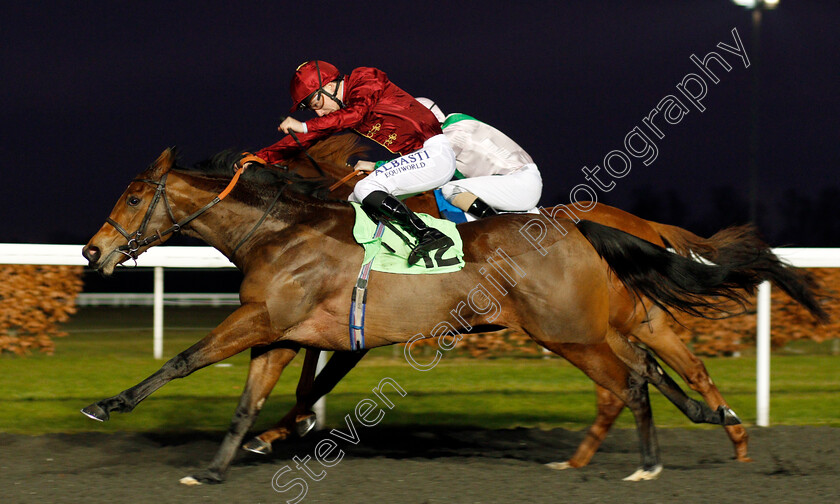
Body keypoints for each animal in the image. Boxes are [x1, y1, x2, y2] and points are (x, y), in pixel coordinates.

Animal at [82, 146, 824, 484]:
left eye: (134, 195)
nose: (93, 250)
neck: (281, 230)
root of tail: (587, 227)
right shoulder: (281, 332)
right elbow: (250, 402)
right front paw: (217, 466)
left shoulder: (264, 322)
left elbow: (185, 361)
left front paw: (107, 405)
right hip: (583, 328)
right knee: (644, 371)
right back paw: (696, 433)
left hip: (570, 330)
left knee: (630, 379)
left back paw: (647, 457)